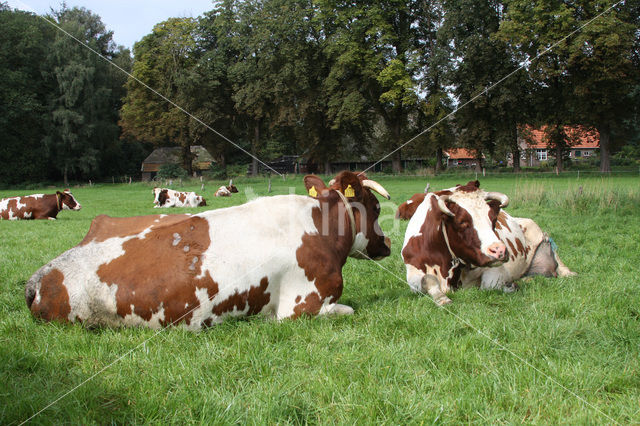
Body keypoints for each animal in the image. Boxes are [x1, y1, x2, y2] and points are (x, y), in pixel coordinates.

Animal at [400, 181, 576, 304]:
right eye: (462, 222)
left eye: (493, 219)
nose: (500, 251)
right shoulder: (413, 275)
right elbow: (427, 280)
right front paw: (442, 299)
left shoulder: (496, 269)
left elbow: (488, 285)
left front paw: (510, 286)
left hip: (538, 232)